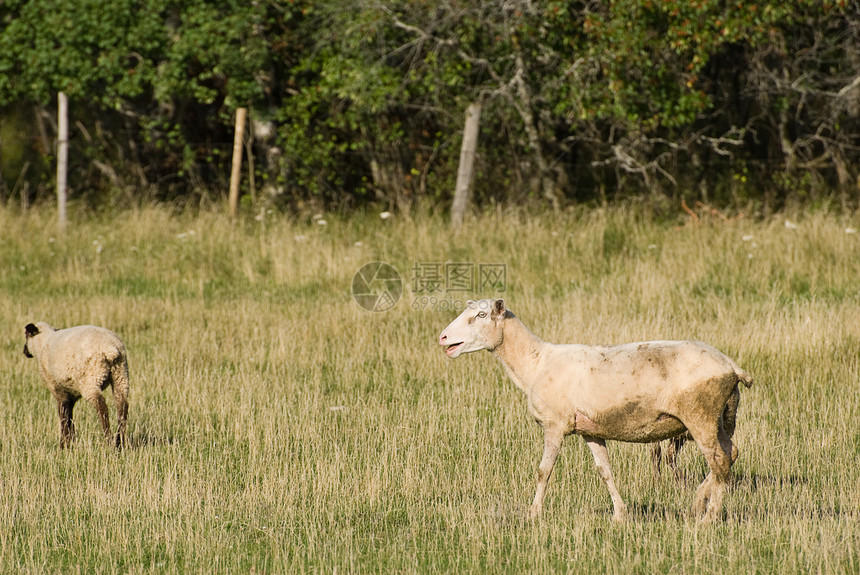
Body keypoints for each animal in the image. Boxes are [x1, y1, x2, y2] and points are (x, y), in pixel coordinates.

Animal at [440, 302, 748, 520]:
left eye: (481, 315)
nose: (443, 338)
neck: (535, 362)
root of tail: (732, 366)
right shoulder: (590, 430)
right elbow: (605, 471)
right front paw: (620, 515)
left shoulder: (555, 425)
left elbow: (544, 471)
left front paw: (533, 514)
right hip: (720, 416)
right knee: (730, 454)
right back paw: (697, 504)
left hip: (700, 414)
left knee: (719, 461)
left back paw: (708, 517)